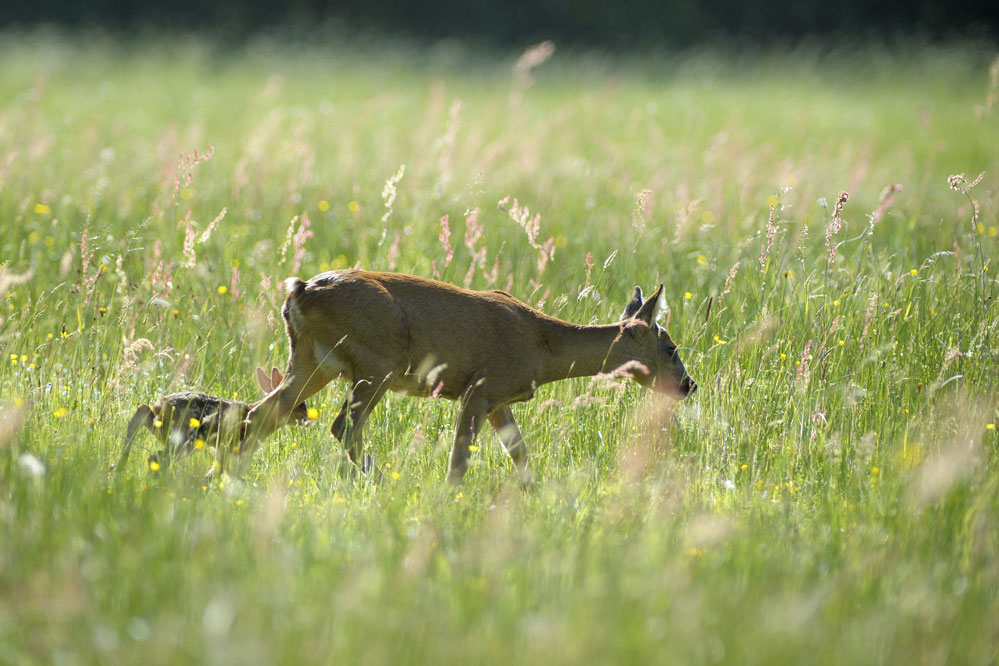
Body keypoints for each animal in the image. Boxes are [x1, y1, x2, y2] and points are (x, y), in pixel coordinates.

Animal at [115, 368, 308, 472]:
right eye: (300, 405)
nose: (306, 418)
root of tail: (161, 404)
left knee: (141, 411)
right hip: (184, 441)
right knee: (156, 457)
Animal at [239, 270, 700, 482]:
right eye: (671, 347)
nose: (689, 385)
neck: (542, 348)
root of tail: (300, 291)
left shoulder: (499, 401)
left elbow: (520, 454)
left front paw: (532, 495)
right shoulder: (479, 389)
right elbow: (460, 458)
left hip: (313, 360)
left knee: (261, 413)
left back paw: (230, 476)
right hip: (376, 363)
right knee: (343, 425)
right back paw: (378, 479)